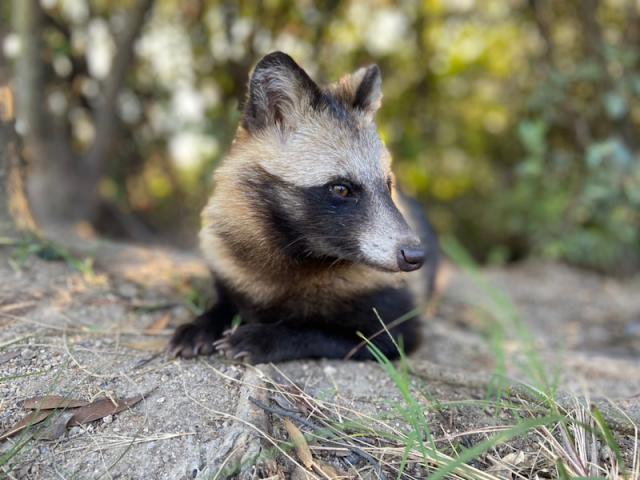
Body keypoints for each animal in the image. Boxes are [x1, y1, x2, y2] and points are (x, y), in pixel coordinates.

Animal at [169, 50, 440, 362]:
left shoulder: (396, 322)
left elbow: (316, 332)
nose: (416, 255)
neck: (297, 251)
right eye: (341, 188)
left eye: (388, 185)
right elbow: (225, 303)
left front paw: (268, 336)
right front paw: (204, 322)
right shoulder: (230, 268)